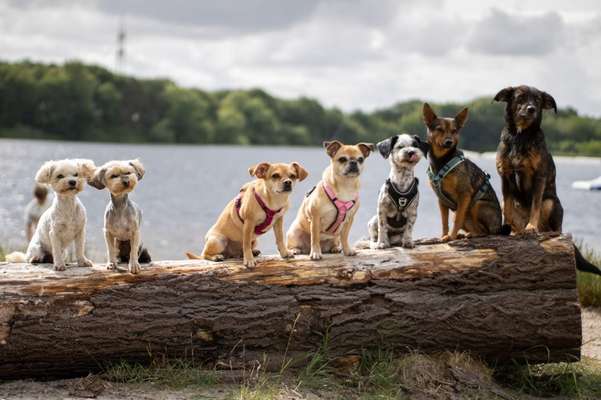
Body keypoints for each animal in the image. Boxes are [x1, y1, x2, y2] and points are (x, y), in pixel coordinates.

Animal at [420, 103, 508, 241]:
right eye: (439, 129)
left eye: (454, 131)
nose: (449, 142)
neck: (443, 160)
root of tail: (499, 227)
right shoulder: (441, 201)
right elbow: (444, 221)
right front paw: (445, 235)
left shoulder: (464, 193)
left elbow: (458, 219)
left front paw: (451, 236)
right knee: (477, 229)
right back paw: (464, 234)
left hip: (478, 204)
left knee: (485, 232)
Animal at [492, 85, 564, 233]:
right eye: (520, 97)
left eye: (537, 100)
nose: (532, 109)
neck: (520, 136)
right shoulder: (505, 175)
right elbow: (507, 206)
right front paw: (505, 226)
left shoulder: (539, 176)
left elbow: (535, 205)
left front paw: (531, 226)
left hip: (550, 202)